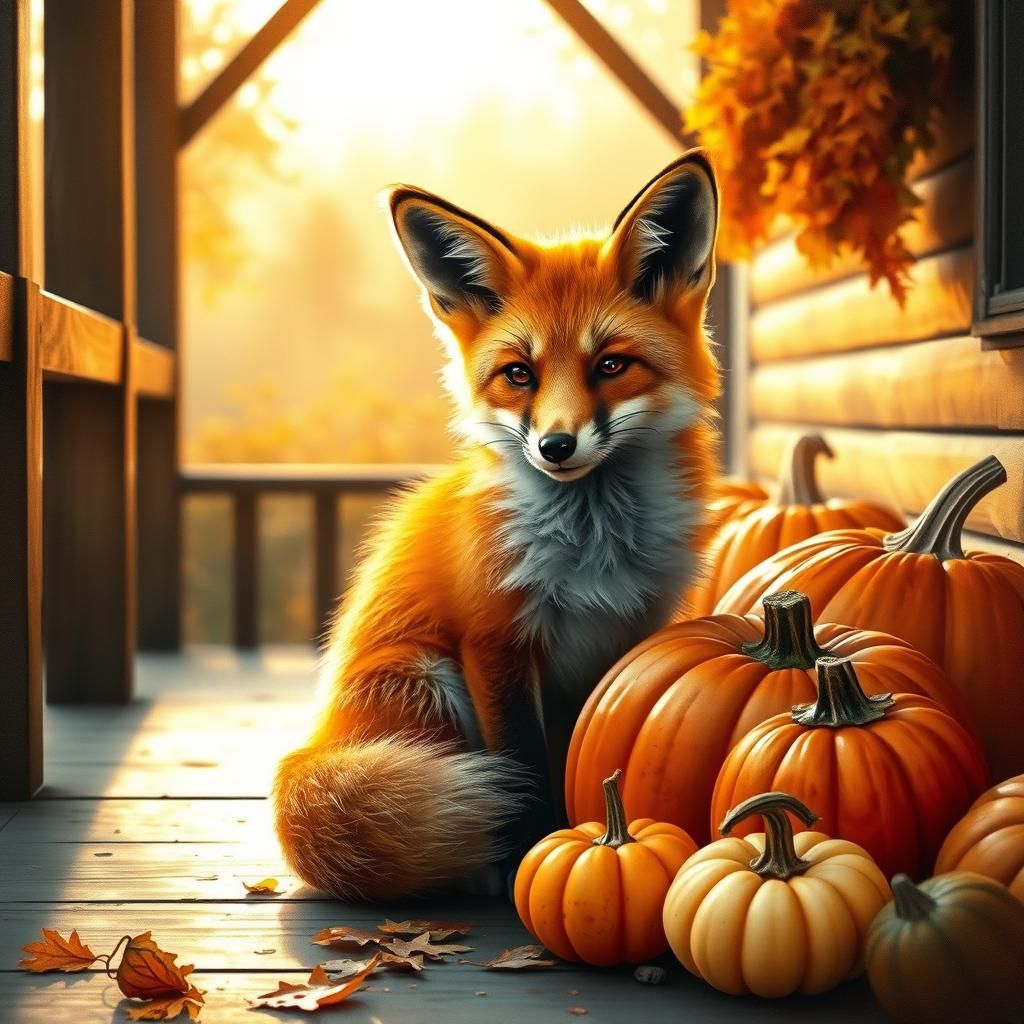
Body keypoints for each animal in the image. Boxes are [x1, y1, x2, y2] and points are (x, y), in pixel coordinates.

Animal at [273, 151, 722, 900]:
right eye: (519, 374)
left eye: (610, 365)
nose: (556, 447)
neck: (595, 549)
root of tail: (318, 738)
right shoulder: (495, 641)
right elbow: (523, 763)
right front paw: (529, 853)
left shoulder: (625, 638)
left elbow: (584, 752)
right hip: (426, 676)